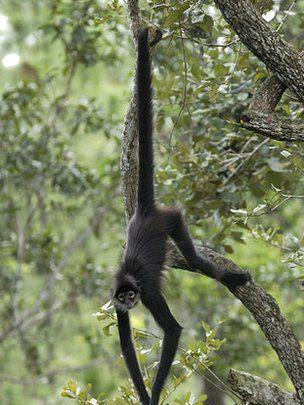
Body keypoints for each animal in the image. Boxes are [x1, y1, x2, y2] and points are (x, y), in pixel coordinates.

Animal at [113, 27, 251, 404]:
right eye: (122, 298)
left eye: (132, 295)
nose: (129, 301)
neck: (129, 279)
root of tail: (145, 212)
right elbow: (126, 346)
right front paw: (144, 394)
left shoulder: (147, 290)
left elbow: (173, 331)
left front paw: (153, 396)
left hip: (172, 219)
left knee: (195, 259)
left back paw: (228, 276)